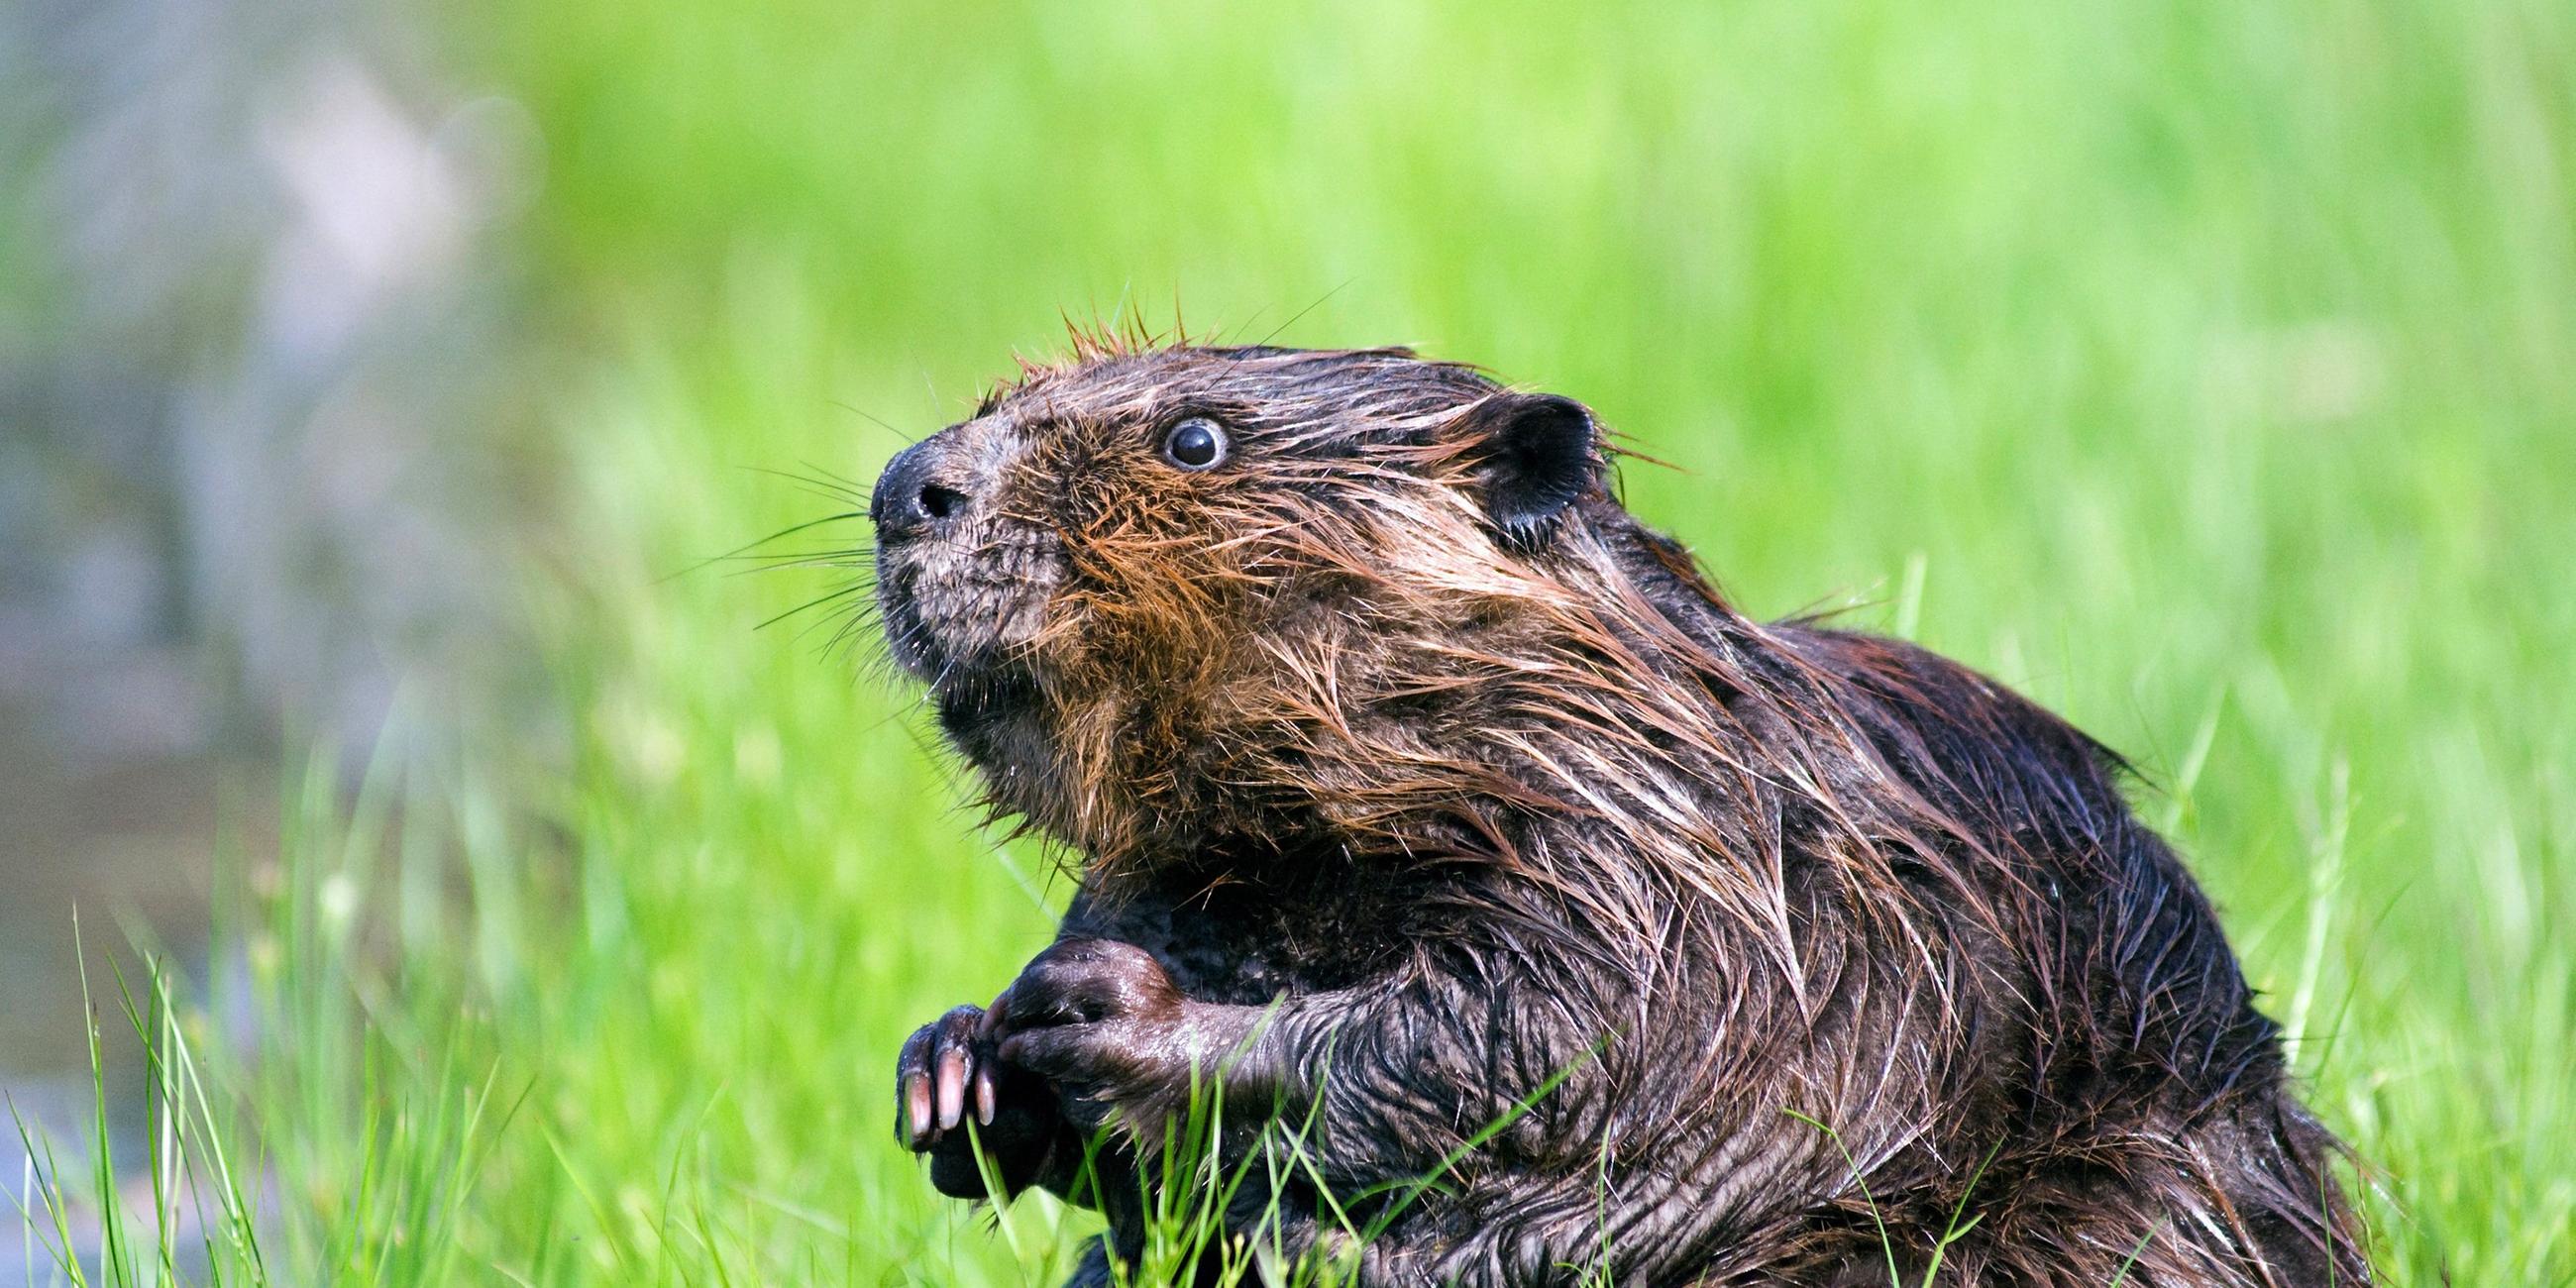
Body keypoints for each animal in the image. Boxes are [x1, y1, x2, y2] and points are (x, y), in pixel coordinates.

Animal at [875, 342, 2359, 1288]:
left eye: (1195, 437)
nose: (904, 487)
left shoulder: (1683, 867)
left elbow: (1534, 1037)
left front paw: (1106, 1015)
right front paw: (957, 1063)